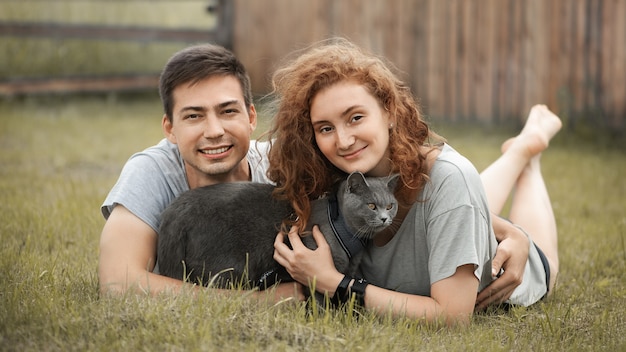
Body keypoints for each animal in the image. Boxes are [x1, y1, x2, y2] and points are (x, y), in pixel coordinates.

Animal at [158, 171, 398, 292]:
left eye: (390, 205)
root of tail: (176, 210)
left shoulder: (350, 267)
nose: (385, 218)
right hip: (226, 269)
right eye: (371, 205)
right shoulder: (324, 267)